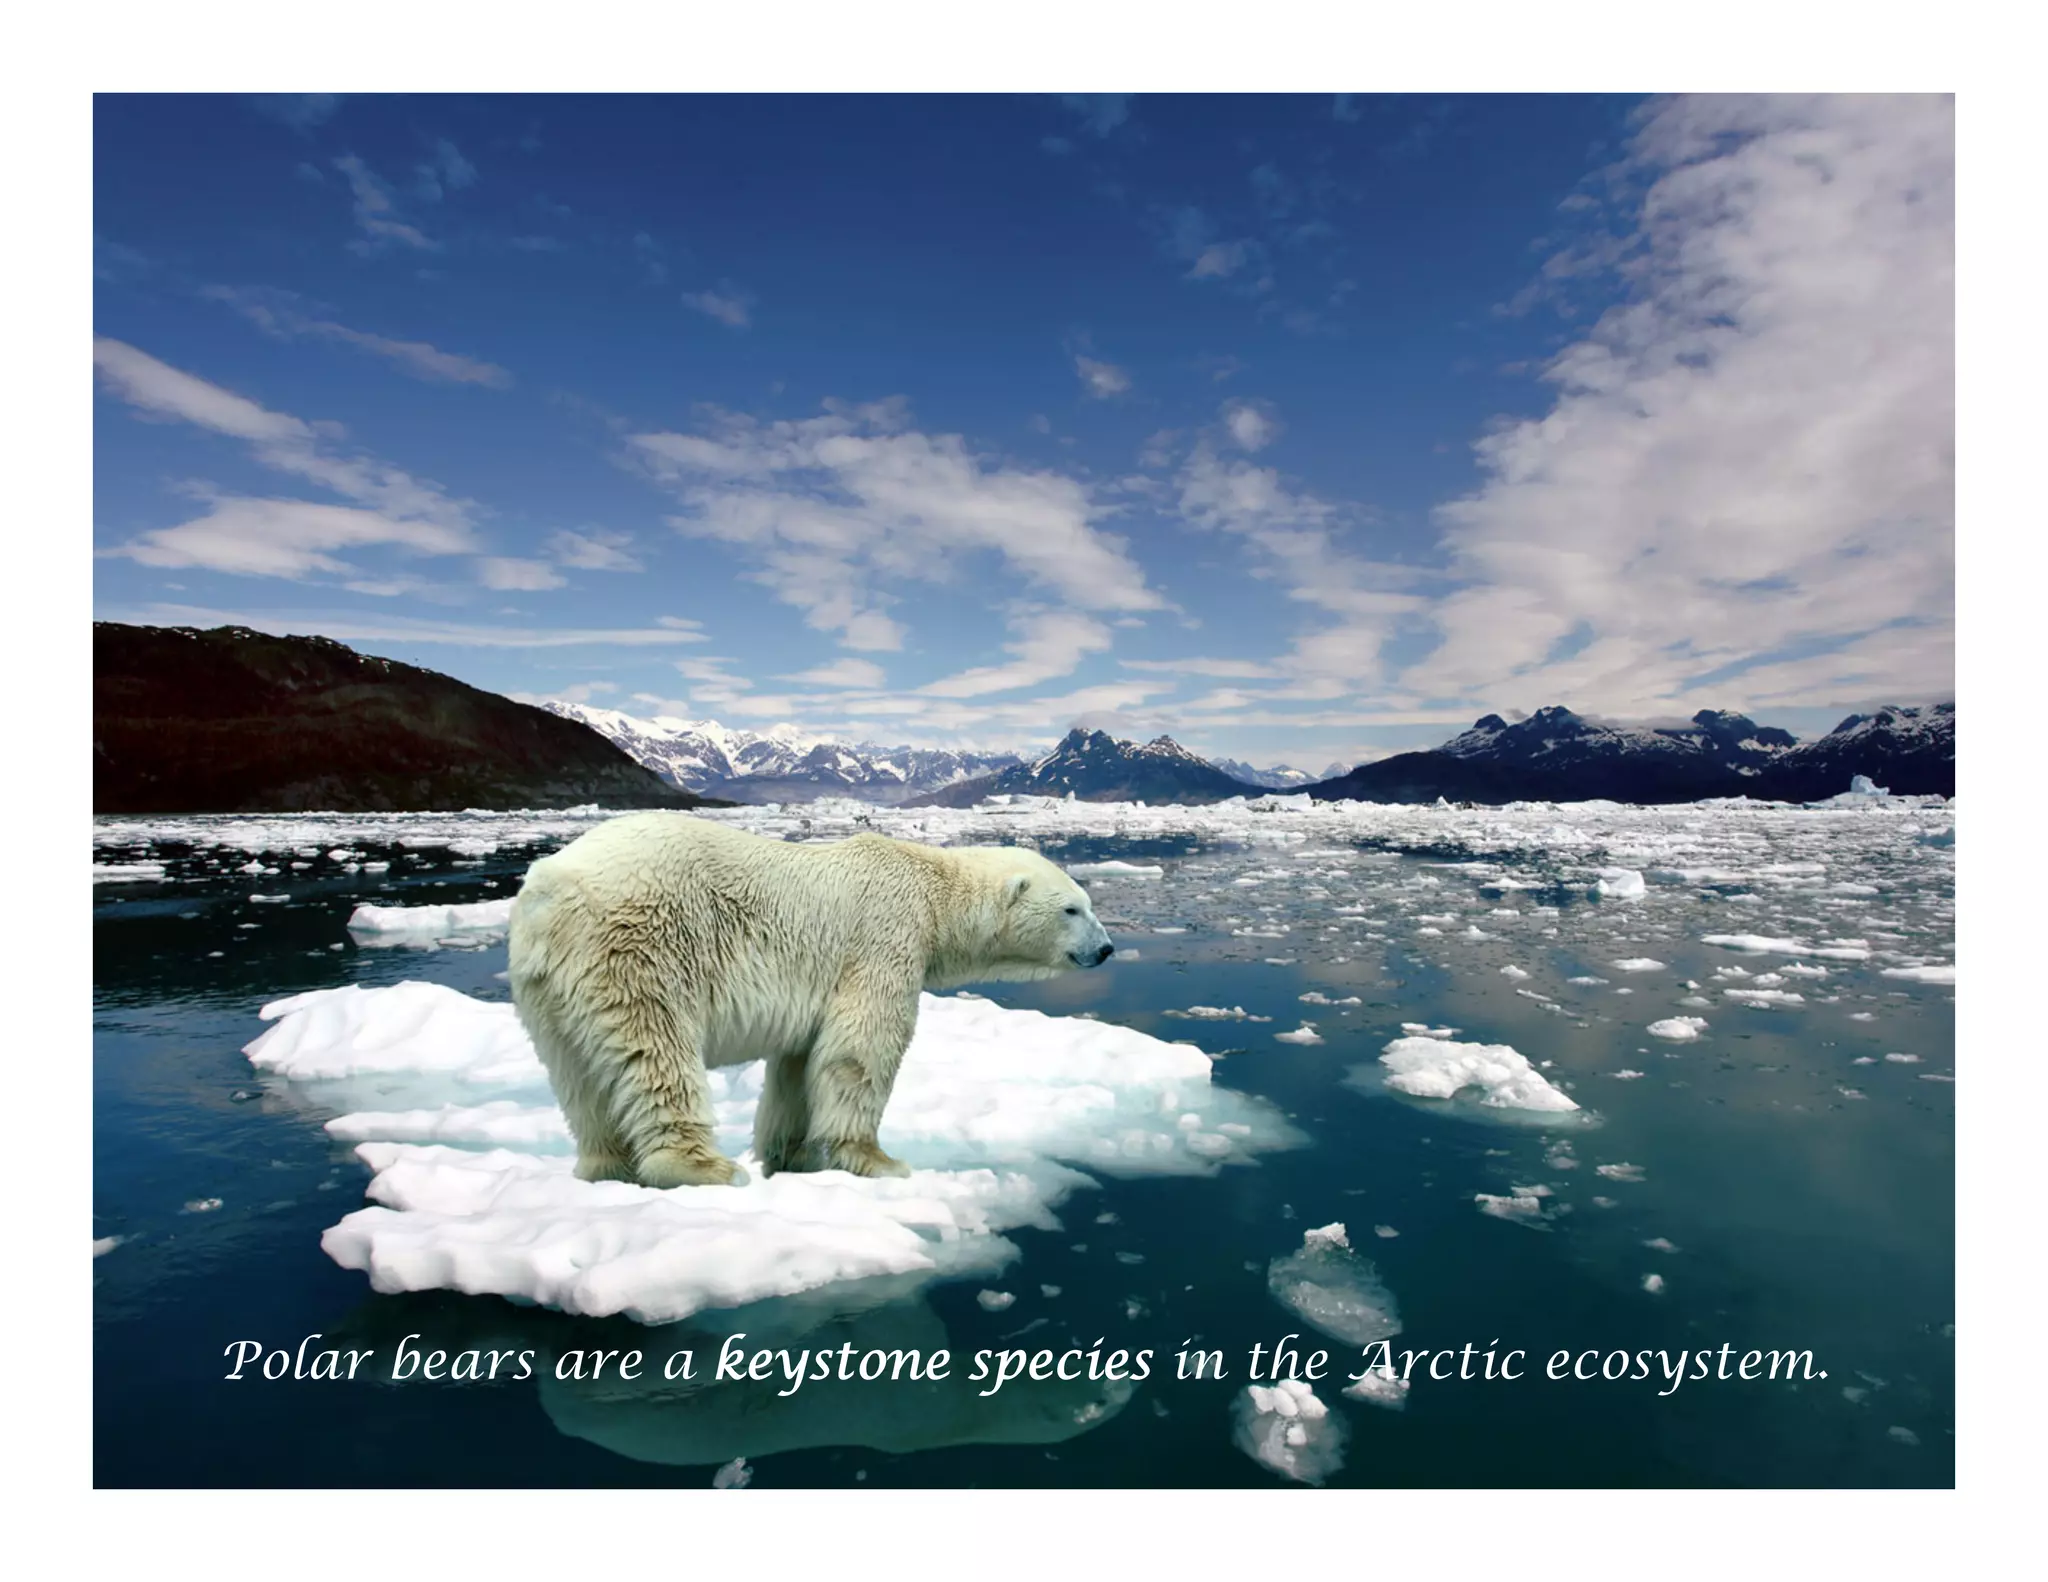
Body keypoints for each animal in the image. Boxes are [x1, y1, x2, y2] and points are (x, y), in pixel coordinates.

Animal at [507, 812, 1115, 1189]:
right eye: (1072, 909)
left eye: (1087, 903)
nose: (1107, 949)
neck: (932, 888)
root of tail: (549, 890)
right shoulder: (885, 935)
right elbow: (861, 1048)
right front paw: (878, 1161)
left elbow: (799, 1065)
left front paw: (791, 1156)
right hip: (639, 945)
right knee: (655, 1050)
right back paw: (704, 1168)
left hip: (546, 986)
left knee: (577, 1075)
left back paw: (606, 1167)